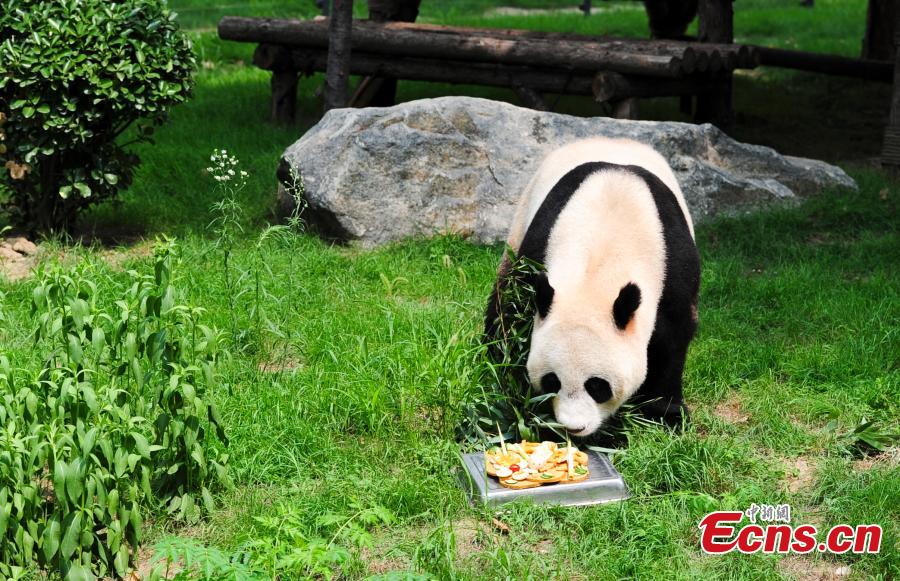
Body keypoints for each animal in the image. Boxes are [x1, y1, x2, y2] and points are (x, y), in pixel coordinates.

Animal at [484, 138, 700, 437]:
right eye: (552, 381)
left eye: (597, 386)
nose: (574, 428)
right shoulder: (539, 249)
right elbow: (516, 313)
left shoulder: (673, 264)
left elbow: (672, 336)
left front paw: (667, 416)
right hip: (521, 220)